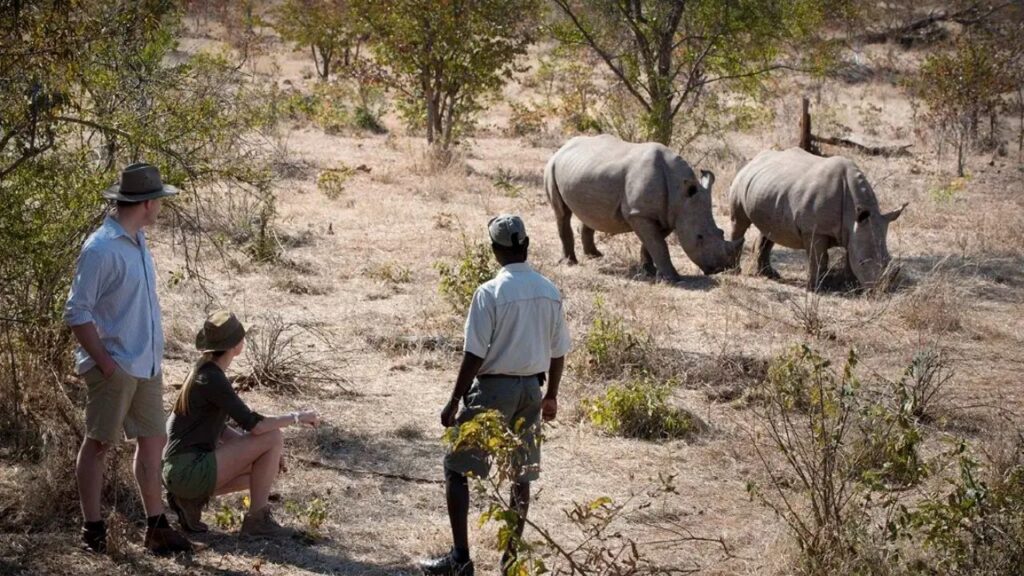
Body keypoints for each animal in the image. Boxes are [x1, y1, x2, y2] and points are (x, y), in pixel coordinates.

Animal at [544, 135, 743, 283]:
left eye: (721, 232)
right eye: (699, 237)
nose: (720, 269)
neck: (680, 193)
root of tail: (563, 147)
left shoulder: (668, 215)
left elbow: (652, 243)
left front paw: (649, 271)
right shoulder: (639, 214)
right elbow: (658, 244)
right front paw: (673, 279)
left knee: (592, 213)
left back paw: (595, 256)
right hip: (552, 166)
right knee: (562, 214)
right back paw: (570, 262)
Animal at [728, 147, 906, 291]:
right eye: (863, 262)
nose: (881, 290)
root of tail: (755, 159)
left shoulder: (854, 230)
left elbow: (850, 255)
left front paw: (850, 285)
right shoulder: (814, 230)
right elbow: (818, 258)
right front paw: (815, 289)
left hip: (769, 187)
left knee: (770, 230)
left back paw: (770, 275)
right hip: (740, 179)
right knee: (739, 223)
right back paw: (735, 271)